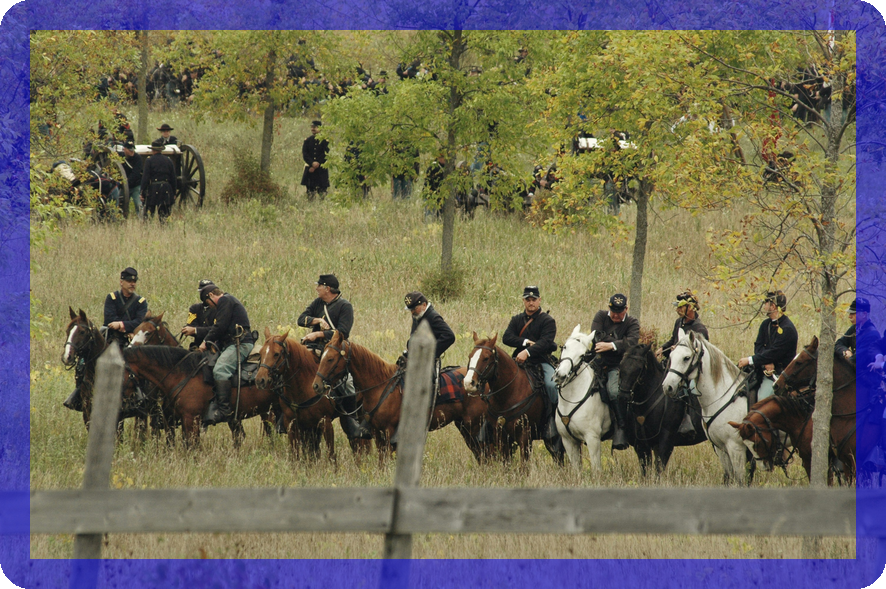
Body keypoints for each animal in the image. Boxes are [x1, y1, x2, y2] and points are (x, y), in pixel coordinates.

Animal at [310, 330, 489, 463]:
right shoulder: (377, 433)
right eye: (322, 356)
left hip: (474, 426)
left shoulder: (390, 432)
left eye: (330, 358)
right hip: (464, 426)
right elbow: (382, 462)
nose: (316, 385)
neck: (381, 386)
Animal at [465, 332, 565, 466]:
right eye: (470, 356)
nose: (468, 383)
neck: (508, 394)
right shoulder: (501, 437)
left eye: (486, 358)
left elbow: (524, 466)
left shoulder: (525, 437)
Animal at [552, 326, 609, 473]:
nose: (560, 375)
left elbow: (596, 470)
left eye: (582, 355)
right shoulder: (568, 441)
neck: (570, 401)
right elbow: (576, 470)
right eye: (565, 347)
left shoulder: (593, 439)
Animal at [619, 341, 708, 477]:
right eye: (621, 365)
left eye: (639, 368)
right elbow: (645, 471)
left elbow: (659, 470)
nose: (623, 396)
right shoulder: (642, 445)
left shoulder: (666, 440)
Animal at [661, 331, 752, 485]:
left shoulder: (736, 448)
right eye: (671, 356)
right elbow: (729, 477)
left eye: (686, 358)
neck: (722, 397)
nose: (667, 387)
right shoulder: (721, 448)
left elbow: (740, 480)